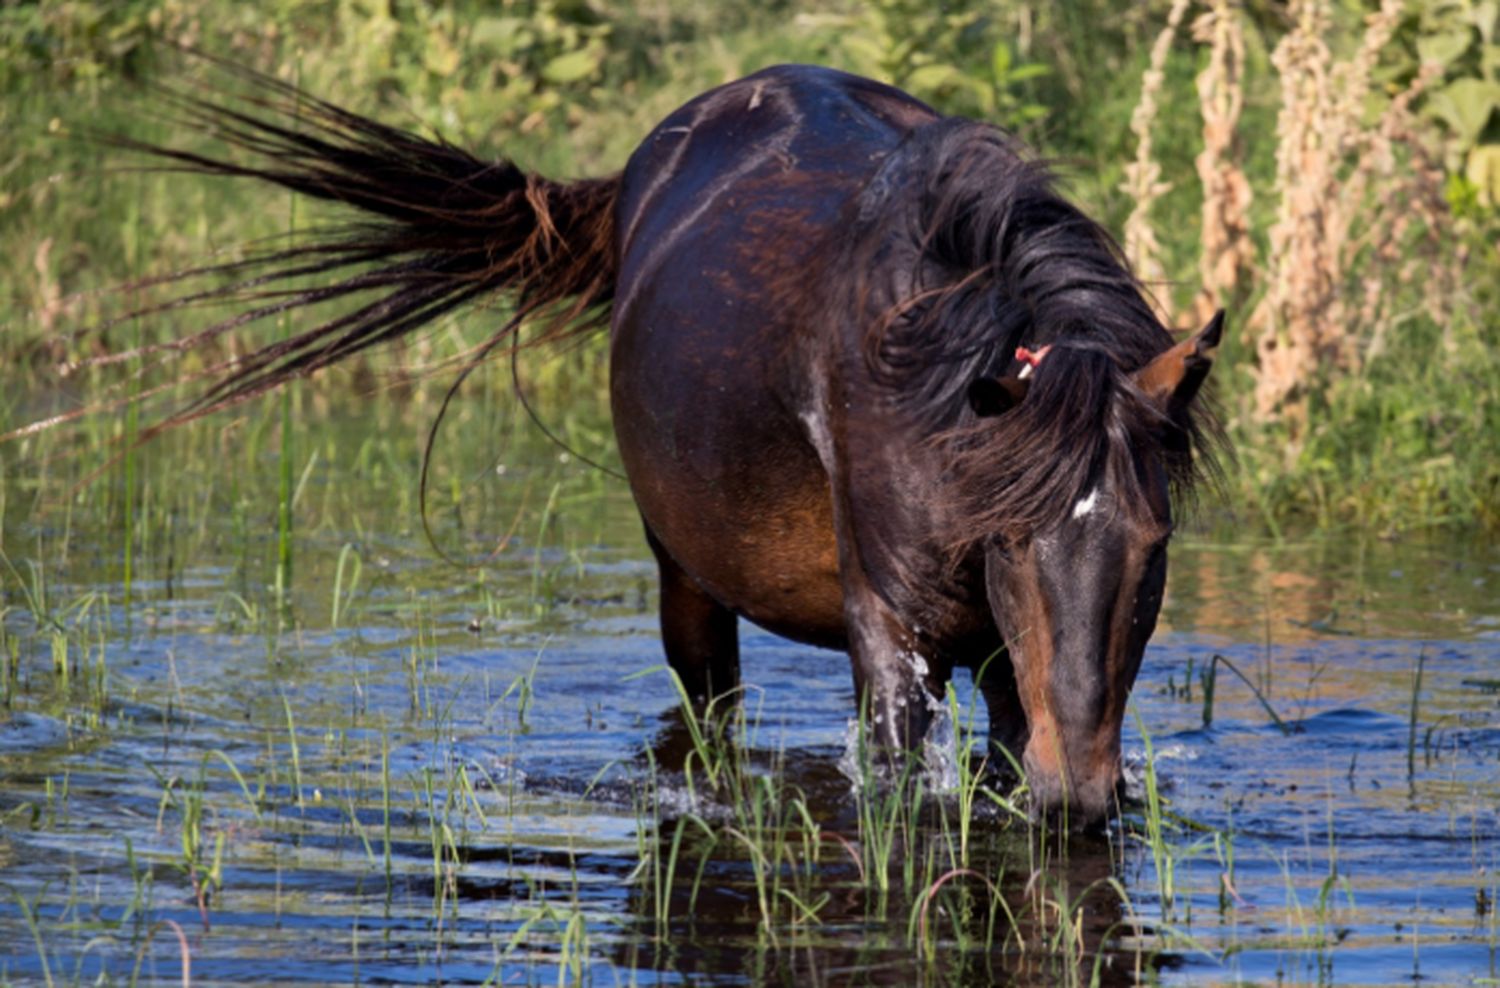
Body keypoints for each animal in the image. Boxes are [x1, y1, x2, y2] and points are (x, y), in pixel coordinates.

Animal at [96, 61, 1218, 827]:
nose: (1081, 796)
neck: (929, 381)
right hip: (686, 577)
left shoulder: (1003, 665)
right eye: (1016, 540)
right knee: (705, 709)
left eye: (1154, 543)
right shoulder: (894, 637)